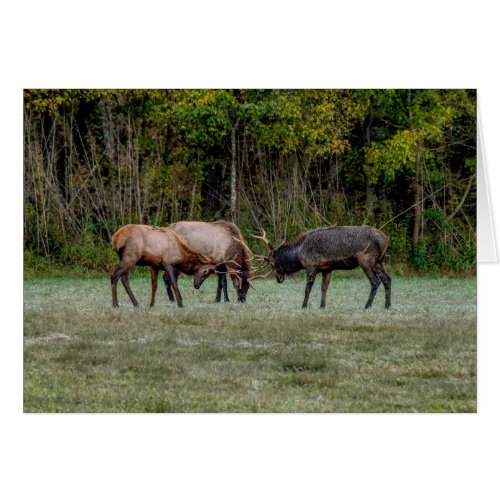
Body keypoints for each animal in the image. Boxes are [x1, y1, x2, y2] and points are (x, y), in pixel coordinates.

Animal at [254, 227, 390, 308]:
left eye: (272, 264)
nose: (278, 278)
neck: (298, 253)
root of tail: (386, 239)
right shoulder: (327, 268)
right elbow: (324, 288)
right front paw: (322, 306)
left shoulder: (311, 266)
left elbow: (307, 289)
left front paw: (304, 306)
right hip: (378, 262)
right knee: (387, 279)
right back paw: (387, 305)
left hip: (366, 261)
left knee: (375, 281)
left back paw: (367, 306)